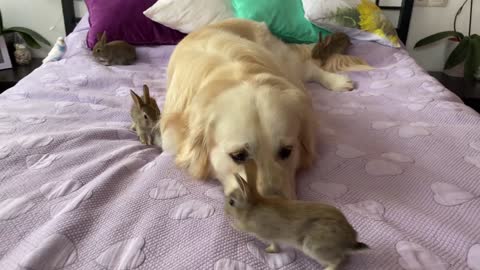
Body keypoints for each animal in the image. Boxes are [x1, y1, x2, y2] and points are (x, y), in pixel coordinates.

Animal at [158, 18, 360, 198]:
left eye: (287, 151)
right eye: (238, 155)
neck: (237, 75)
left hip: (284, 61)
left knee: (308, 69)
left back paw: (338, 82)